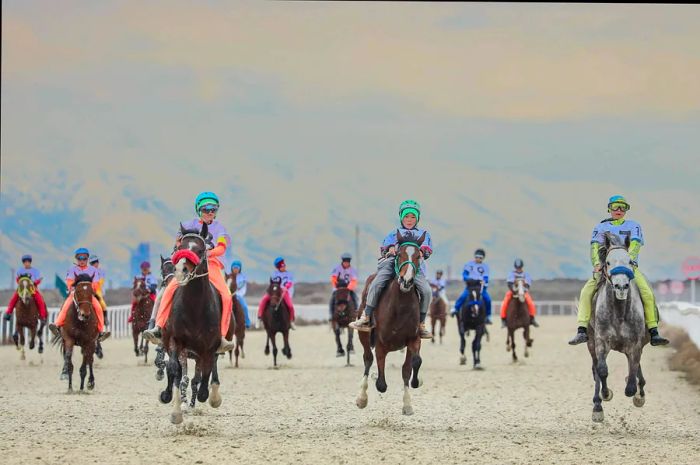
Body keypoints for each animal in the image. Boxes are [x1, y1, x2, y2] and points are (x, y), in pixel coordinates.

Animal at [159, 224, 223, 424]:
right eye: (180, 248)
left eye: (200, 250)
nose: (181, 270)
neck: (194, 308)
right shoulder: (175, 340)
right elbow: (175, 371)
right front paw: (175, 411)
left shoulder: (208, 348)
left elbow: (204, 378)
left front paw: (209, 397)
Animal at [356, 230, 426, 416]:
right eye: (399, 254)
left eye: (418, 256)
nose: (406, 281)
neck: (400, 306)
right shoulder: (381, 342)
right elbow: (381, 383)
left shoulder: (413, 339)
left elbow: (412, 365)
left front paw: (409, 400)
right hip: (363, 335)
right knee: (367, 359)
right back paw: (361, 398)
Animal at [584, 232, 652, 420]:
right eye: (608, 262)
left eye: (629, 261)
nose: (621, 286)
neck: (620, 313)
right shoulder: (601, 342)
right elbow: (602, 370)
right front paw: (605, 395)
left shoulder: (635, 344)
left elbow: (632, 380)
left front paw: (637, 393)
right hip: (591, 343)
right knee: (596, 369)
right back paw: (597, 405)